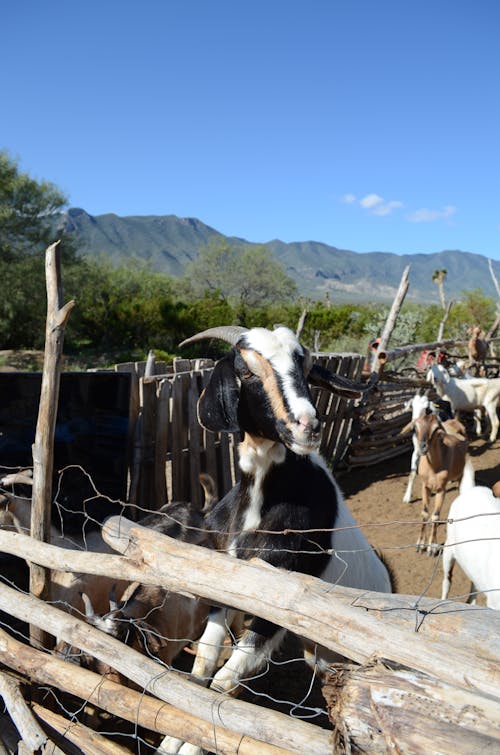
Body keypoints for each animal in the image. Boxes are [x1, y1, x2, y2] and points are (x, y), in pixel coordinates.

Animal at [160, 324, 390, 755]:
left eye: (306, 367)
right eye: (246, 371)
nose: (307, 425)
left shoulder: (274, 605)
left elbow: (224, 680)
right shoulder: (225, 583)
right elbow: (204, 662)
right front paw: (168, 741)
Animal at [404, 410, 474, 560]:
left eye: (436, 428)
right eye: (415, 427)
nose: (422, 447)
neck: (434, 468)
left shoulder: (442, 490)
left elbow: (435, 516)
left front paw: (431, 548)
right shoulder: (425, 486)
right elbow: (425, 513)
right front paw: (420, 545)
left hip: (459, 474)